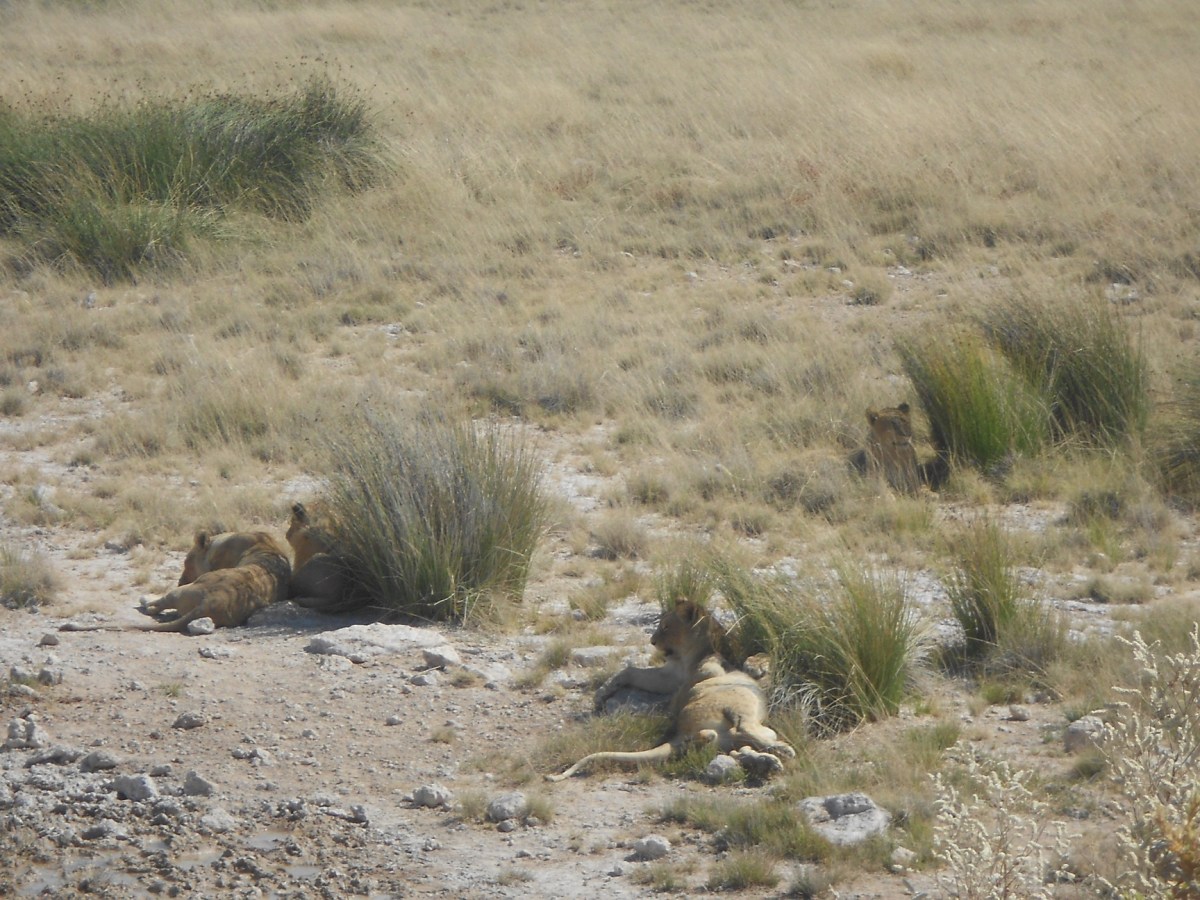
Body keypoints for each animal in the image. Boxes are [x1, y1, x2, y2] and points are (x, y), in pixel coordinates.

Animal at [138, 530, 291, 633]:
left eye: (186, 563)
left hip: (182, 590)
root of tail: (212, 601)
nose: (180, 582)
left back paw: (146, 604)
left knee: (159, 605)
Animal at [546, 599, 795, 781]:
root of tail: (680, 733)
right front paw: (602, 692)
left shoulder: (704, 669)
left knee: (741, 735)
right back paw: (773, 758)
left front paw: (754, 665)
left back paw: (774, 756)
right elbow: (631, 671)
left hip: (741, 701)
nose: (652, 641)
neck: (688, 657)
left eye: (666, 626)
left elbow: (752, 657)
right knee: (738, 738)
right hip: (737, 712)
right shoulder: (671, 676)